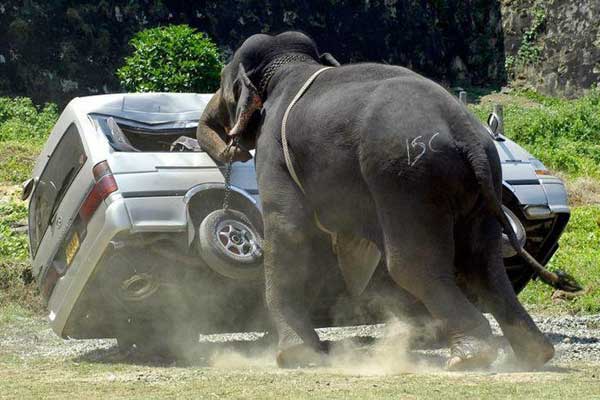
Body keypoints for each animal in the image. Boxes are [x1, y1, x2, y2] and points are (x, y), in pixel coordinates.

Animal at [198, 32, 556, 372]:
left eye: (223, 82)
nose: (231, 150)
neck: (291, 65)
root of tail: (466, 134)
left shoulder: (273, 151)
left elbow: (290, 231)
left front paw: (296, 356)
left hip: (405, 179)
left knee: (412, 264)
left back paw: (470, 357)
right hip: (480, 183)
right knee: (484, 262)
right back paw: (535, 354)